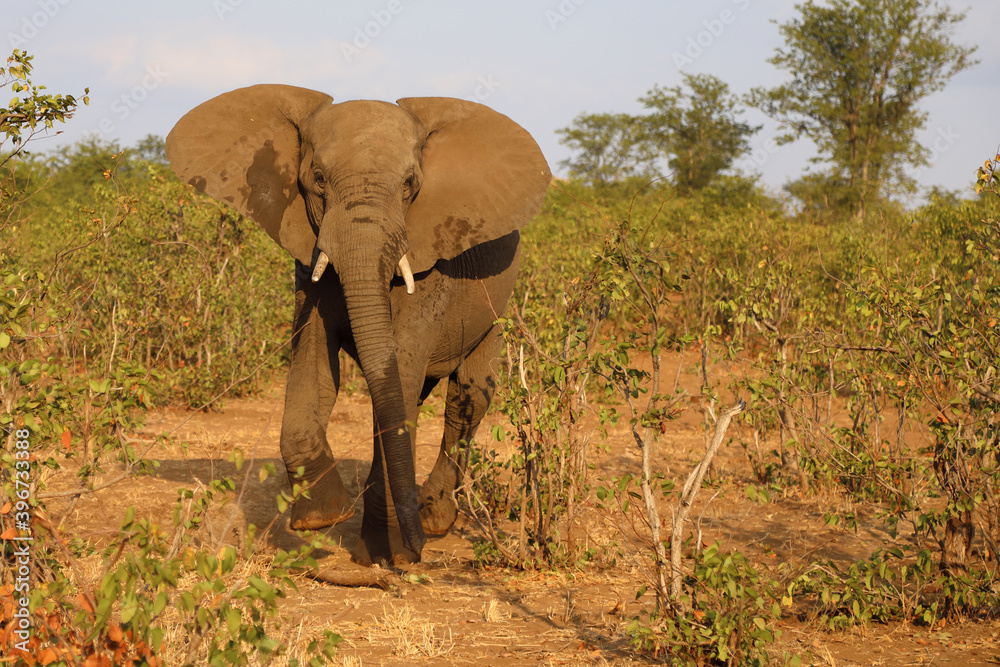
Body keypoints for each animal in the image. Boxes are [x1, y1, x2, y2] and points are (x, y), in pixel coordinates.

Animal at [165, 85, 550, 566]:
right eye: (318, 178)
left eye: (410, 184)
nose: (417, 554)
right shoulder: (308, 252)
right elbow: (315, 360)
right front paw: (323, 518)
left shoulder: (430, 261)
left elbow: (400, 367)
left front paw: (387, 554)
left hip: (493, 311)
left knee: (467, 400)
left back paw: (434, 521)